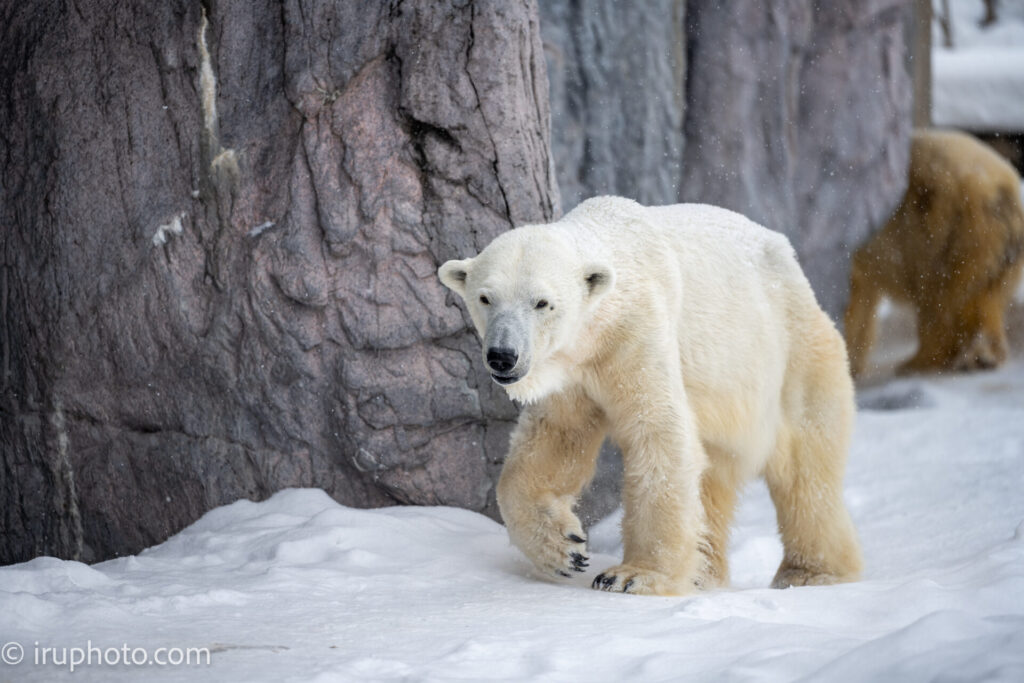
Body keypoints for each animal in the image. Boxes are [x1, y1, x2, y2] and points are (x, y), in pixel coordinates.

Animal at [436, 196, 860, 593]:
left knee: (806, 467)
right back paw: (703, 574)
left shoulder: (637, 335)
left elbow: (657, 434)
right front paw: (562, 548)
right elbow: (555, 439)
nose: (503, 356)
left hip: (794, 355)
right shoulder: (573, 372)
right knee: (714, 477)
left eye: (542, 303)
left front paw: (633, 576)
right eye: (485, 298)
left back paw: (811, 573)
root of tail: (792, 264)